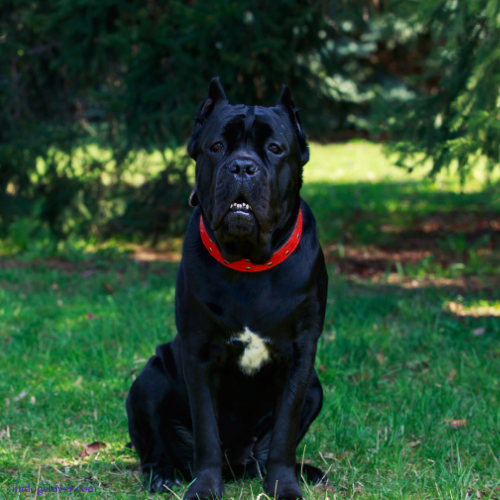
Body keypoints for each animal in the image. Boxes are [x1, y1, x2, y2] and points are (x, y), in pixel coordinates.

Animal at [125, 78, 328, 500]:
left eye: (275, 148)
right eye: (217, 146)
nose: (243, 166)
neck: (249, 263)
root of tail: (237, 466)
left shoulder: (300, 356)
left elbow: (284, 434)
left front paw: (285, 486)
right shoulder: (199, 354)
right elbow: (206, 432)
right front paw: (204, 487)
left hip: (316, 389)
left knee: (264, 452)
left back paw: (303, 471)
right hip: (148, 380)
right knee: (155, 446)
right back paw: (163, 474)